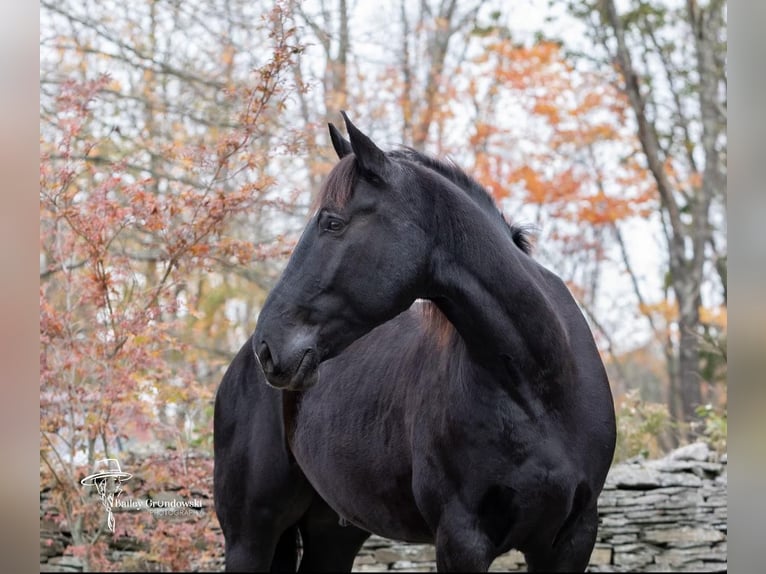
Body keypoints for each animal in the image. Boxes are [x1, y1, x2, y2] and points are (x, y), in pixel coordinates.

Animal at [214, 112, 616, 572]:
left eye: (333, 222)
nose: (269, 345)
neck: (539, 387)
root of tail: (238, 370)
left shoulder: (572, 539)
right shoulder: (461, 540)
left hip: (331, 532)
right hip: (250, 538)